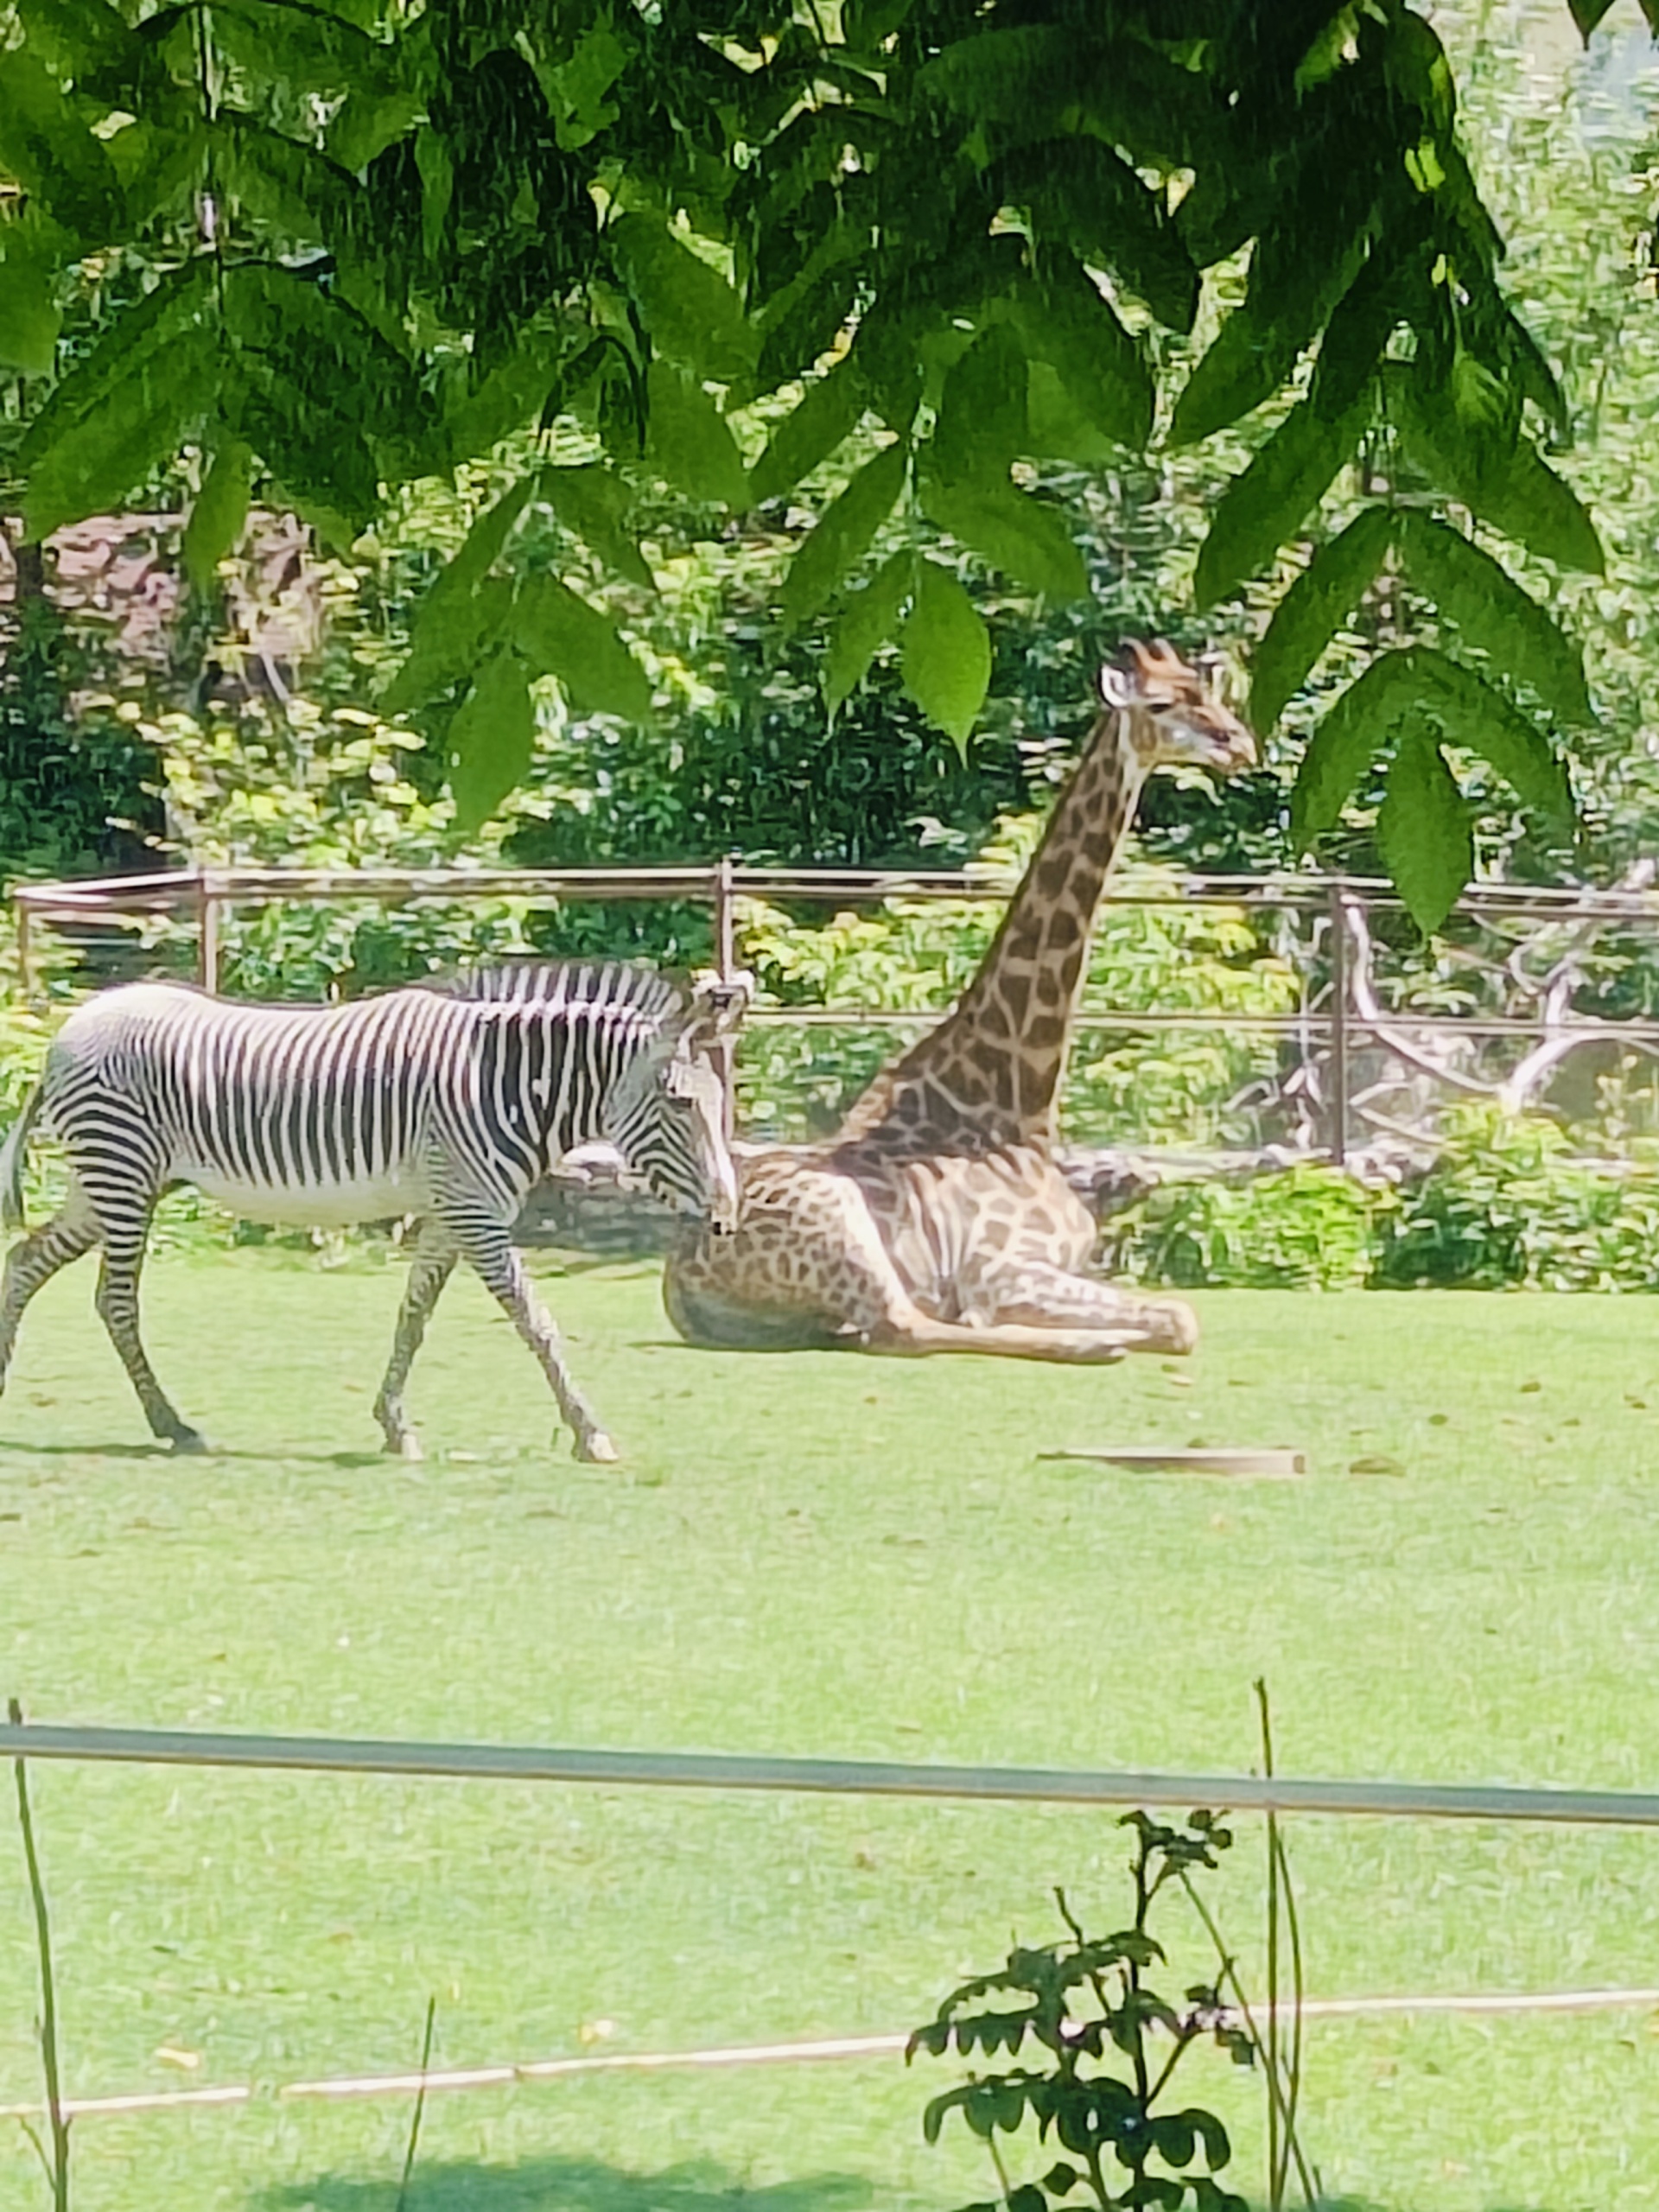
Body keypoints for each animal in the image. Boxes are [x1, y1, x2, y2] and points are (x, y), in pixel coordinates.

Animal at [0, 960, 747, 1459]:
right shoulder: (476, 1212)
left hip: (110, 1184)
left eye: (720, 1101)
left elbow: (412, 1318)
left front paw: (394, 1425)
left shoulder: (449, 1212)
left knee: (24, 1260)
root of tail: (65, 1034)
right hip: (121, 1174)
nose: (726, 1220)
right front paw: (590, 1433)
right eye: (680, 1103)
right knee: (115, 1301)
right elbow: (535, 1321)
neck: (502, 1086)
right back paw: (172, 1426)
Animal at [654, 641, 1256, 1362]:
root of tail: (678, 1276)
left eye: (1210, 692)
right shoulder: (1002, 1267)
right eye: (1162, 704)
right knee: (904, 1327)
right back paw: (1097, 1342)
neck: (1017, 1105)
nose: (1240, 744)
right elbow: (1177, 1318)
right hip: (841, 1219)